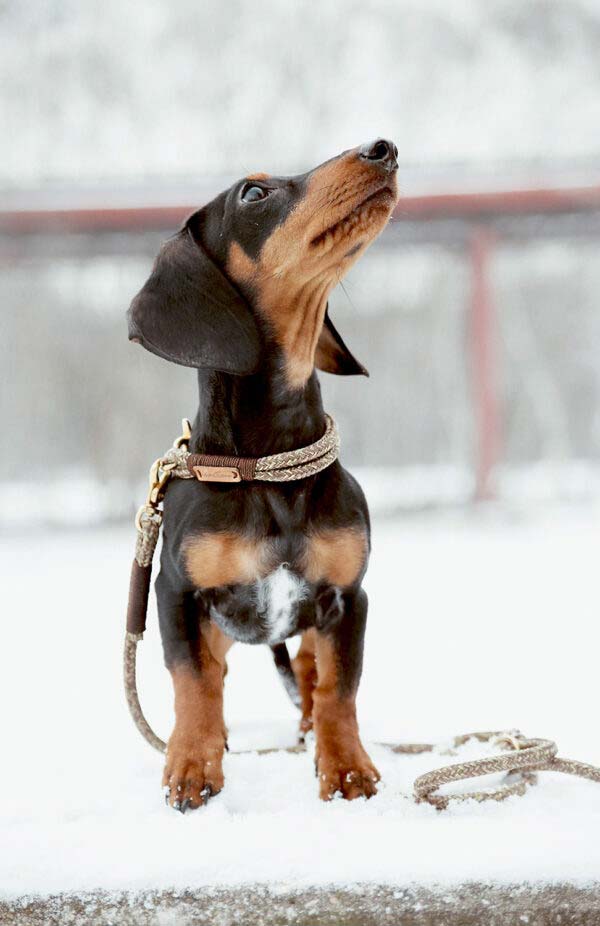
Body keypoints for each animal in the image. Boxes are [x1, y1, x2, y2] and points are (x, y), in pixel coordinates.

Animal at [127, 138, 398, 812]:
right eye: (253, 193)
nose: (382, 148)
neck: (266, 470)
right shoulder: (175, 595)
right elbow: (194, 682)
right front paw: (191, 766)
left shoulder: (347, 598)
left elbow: (339, 688)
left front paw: (346, 769)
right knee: (217, 671)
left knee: (306, 671)